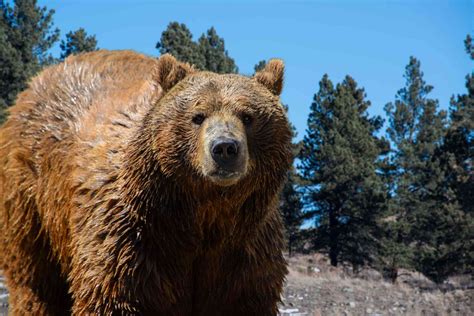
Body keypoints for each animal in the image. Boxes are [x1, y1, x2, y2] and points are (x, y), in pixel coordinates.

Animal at [0, 49, 292, 314]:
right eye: (197, 116)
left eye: (248, 116)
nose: (224, 148)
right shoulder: (131, 239)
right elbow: (112, 297)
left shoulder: (247, 249)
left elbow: (243, 298)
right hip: (32, 199)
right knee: (35, 280)